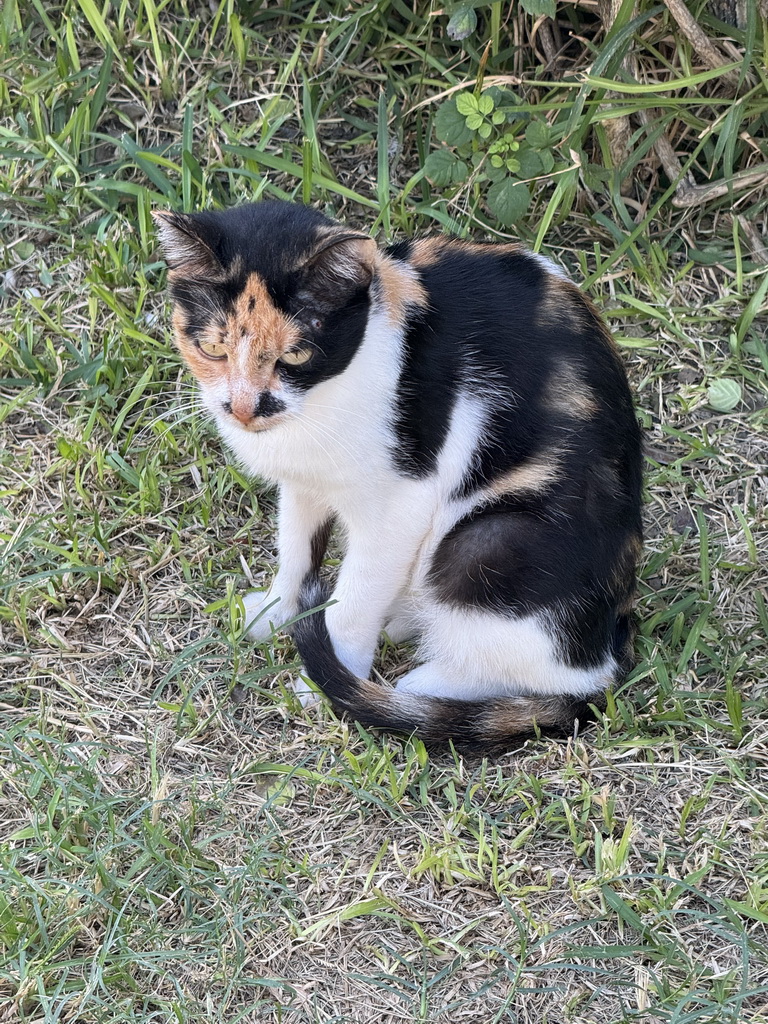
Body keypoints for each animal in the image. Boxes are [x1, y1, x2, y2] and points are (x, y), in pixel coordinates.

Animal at [156, 199, 643, 753]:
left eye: (295, 354)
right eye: (213, 349)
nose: (243, 407)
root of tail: (615, 644)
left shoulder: (402, 503)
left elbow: (356, 597)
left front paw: (325, 683)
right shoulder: (303, 483)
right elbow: (296, 548)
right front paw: (280, 611)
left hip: (491, 546)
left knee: (551, 672)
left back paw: (421, 688)